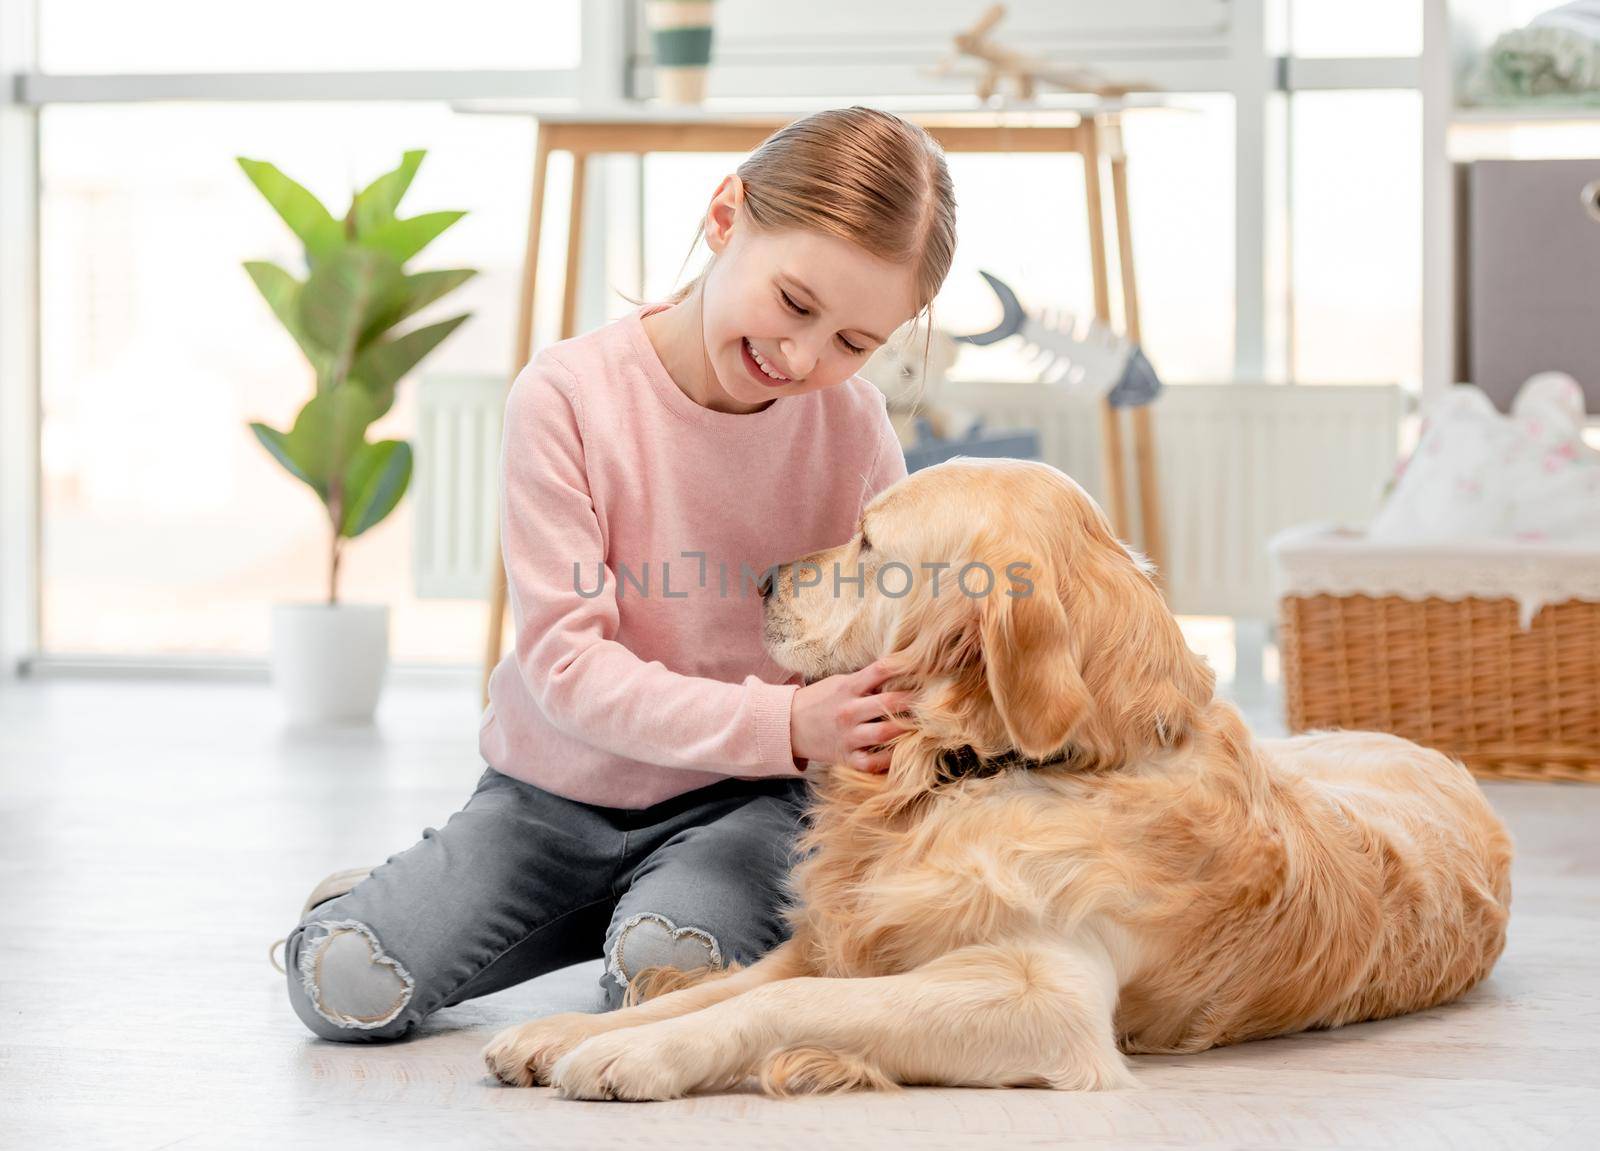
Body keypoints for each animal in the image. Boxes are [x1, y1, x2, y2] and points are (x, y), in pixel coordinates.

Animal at [476, 457, 1510, 1101]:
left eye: (867, 543)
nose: (763, 579)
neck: (983, 767)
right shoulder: (839, 932)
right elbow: (714, 986)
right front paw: (562, 1033)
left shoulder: (1043, 999)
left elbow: (780, 1001)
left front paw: (636, 1051)